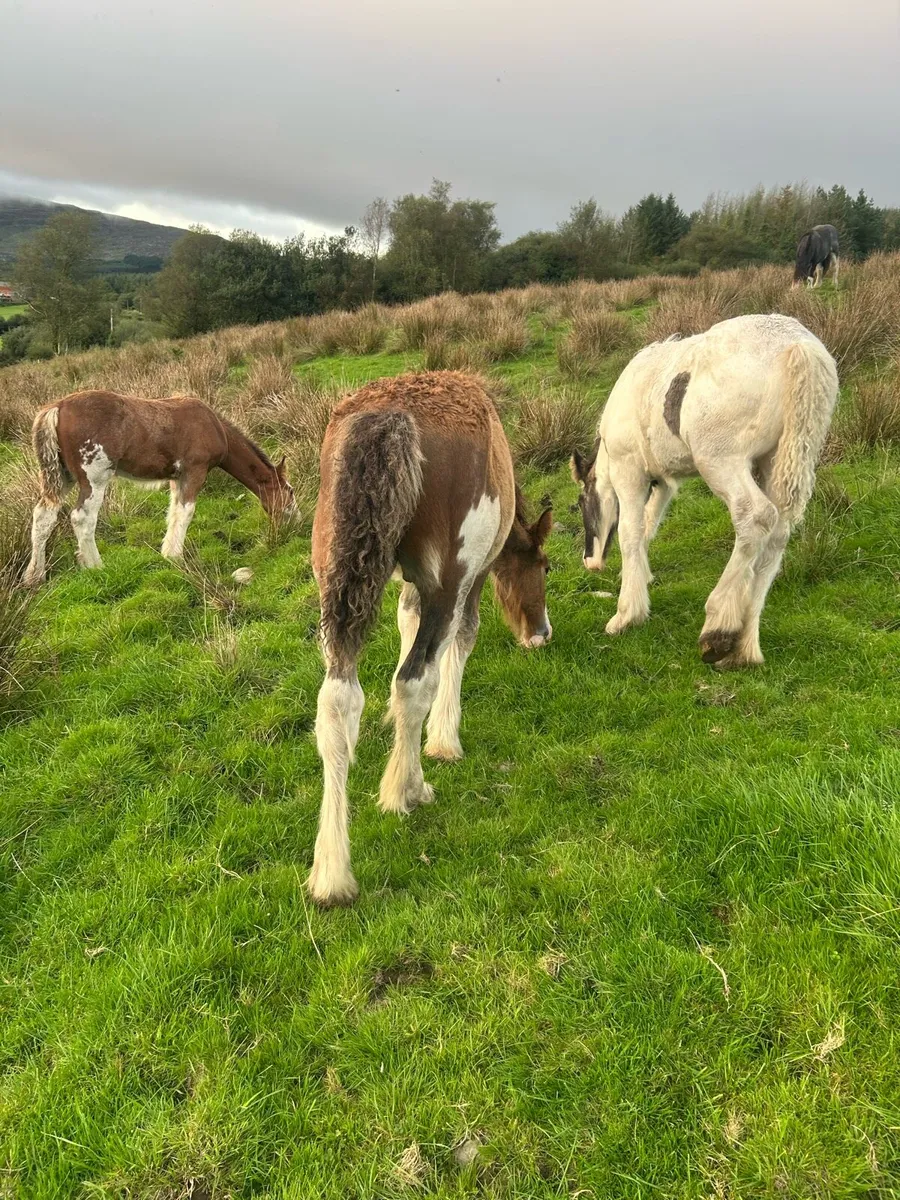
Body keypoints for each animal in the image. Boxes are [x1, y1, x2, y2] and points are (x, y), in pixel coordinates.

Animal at [23, 390, 294, 586]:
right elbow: (186, 512)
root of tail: (56, 408)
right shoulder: (194, 471)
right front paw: (175, 556)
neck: (214, 426)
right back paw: (95, 566)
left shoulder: (177, 477)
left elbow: (174, 512)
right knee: (82, 518)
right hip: (94, 479)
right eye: (290, 493)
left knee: (43, 517)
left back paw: (34, 576)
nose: (294, 523)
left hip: (63, 477)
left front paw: (167, 552)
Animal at [308, 371, 553, 906]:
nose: (541, 633)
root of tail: (391, 419)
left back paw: (332, 871)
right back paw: (408, 788)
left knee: (336, 700)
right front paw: (442, 739)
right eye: (547, 567)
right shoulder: (470, 578)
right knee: (414, 681)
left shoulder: (408, 580)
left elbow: (405, 618)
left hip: (334, 581)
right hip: (449, 581)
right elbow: (458, 645)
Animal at [570, 314, 838, 668]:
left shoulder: (629, 471)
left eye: (581, 501)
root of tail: (800, 346)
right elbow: (648, 526)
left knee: (756, 517)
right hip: (777, 460)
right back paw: (745, 643)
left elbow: (631, 532)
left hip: (721, 461)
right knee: (779, 530)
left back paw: (718, 628)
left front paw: (627, 614)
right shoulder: (664, 481)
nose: (590, 561)